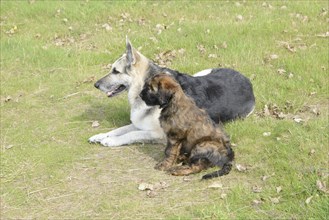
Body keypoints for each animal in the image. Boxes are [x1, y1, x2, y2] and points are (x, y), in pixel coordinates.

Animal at [88, 38, 255, 147]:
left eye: (115, 71)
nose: (95, 85)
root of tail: (248, 81)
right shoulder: (140, 124)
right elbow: (120, 129)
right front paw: (101, 135)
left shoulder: (158, 133)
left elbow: (131, 134)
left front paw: (111, 141)